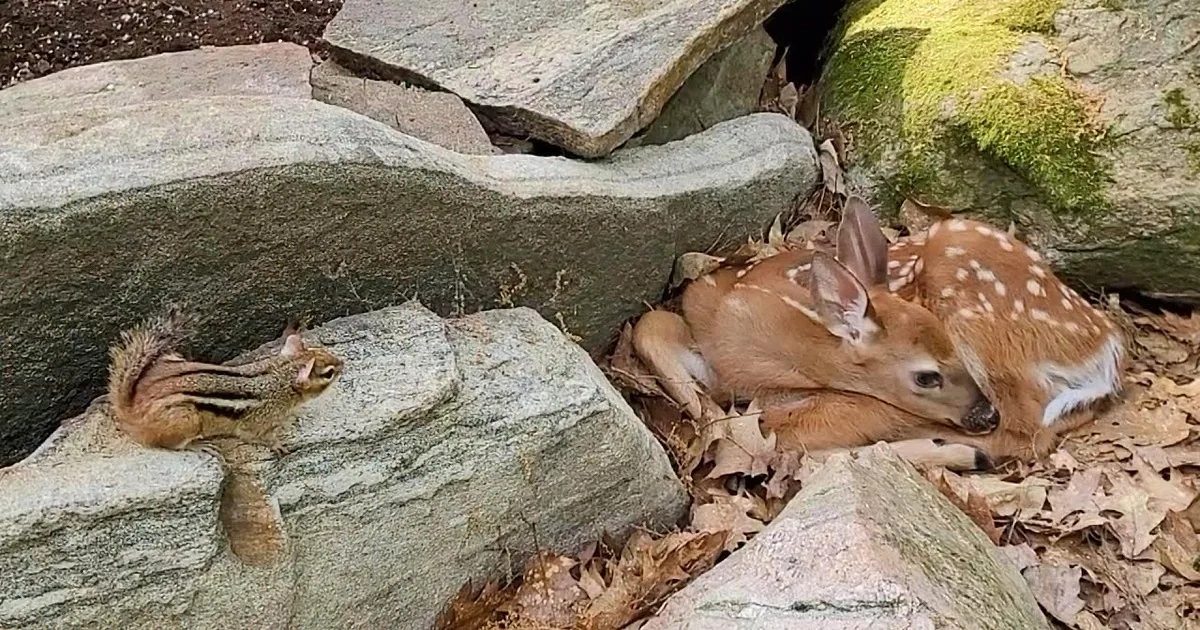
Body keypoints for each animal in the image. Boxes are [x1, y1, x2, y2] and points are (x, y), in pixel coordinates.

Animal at [107, 306, 343, 456]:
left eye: (321, 350)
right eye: (329, 373)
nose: (343, 363)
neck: (279, 376)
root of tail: (132, 408)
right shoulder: (256, 422)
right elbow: (256, 436)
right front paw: (277, 444)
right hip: (186, 420)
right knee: (171, 445)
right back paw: (200, 446)